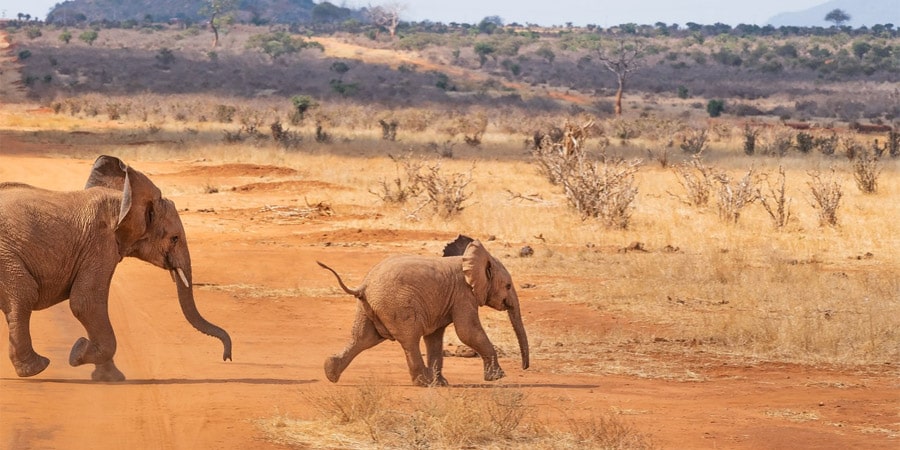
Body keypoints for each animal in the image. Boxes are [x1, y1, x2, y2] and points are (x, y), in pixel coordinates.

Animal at [0, 155, 232, 380]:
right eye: (174, 238)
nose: (227, 357)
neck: (123, 200)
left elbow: (89, 304)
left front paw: (109, 377)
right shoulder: (100, 243)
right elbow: (86, 302)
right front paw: (78, 353)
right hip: (6, 256)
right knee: (25, 293)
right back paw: (36, 368)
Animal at [316, 236, 528, 386]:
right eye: (508, 286)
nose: (524, 368)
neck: (470, 259)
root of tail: (364, 286)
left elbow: (435, 338)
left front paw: (441, 384)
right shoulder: (463, 294)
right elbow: (467, 331)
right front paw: (498, 378)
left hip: (368, 307)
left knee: (363, 339)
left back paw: (330, 372)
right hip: (397, 305)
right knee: (409, 340)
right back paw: (423, 383)